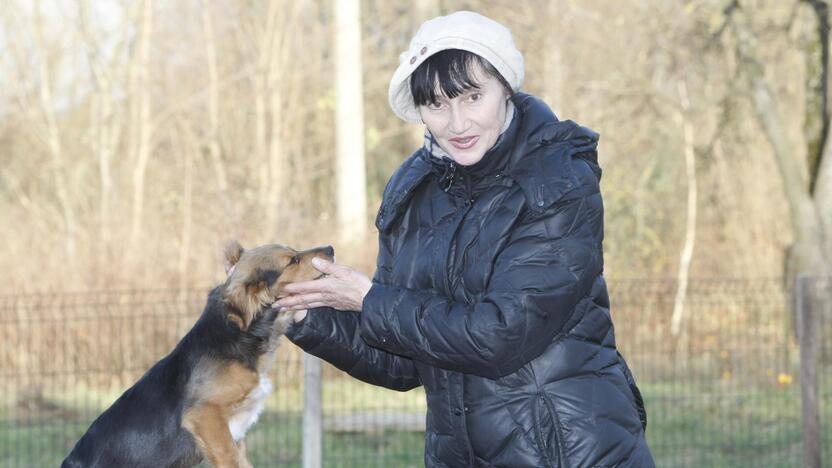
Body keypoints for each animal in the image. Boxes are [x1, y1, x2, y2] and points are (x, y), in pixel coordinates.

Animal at [62, 241, 334, 468]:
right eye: (292, 261)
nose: (330, 249)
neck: (238, 336)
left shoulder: (234, 433)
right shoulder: (206, 416)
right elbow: (228, 458)